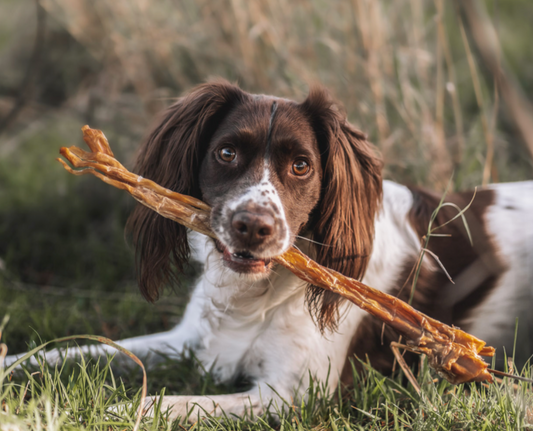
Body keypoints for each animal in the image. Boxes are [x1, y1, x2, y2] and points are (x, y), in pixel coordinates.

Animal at [5, 80, 532, 422]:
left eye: (301, 165)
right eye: (226, 153)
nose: (253, 227)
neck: (254, 295)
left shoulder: (293, 395)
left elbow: (167, 402)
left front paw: (107, 410)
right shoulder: (188, 342)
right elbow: (74, 350)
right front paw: (12, 365)